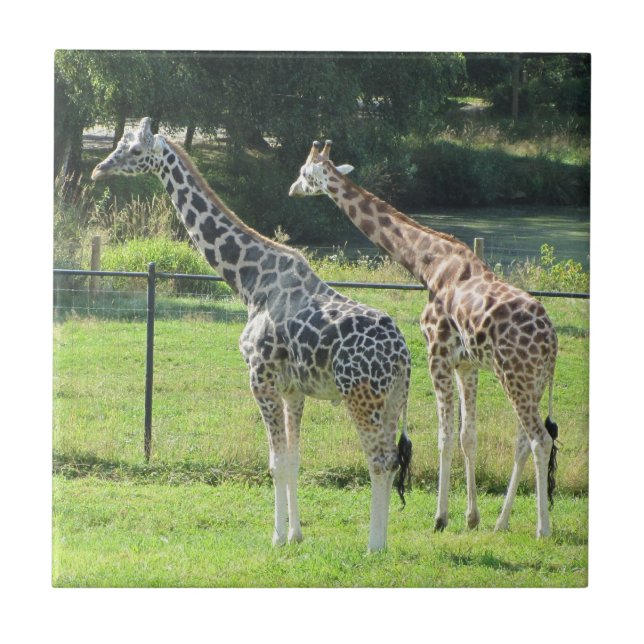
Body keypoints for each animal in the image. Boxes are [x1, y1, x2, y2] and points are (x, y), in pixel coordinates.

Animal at [91, 119, 412, 552]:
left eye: (135, 150)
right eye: (121, 144)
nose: (99, 169)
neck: (249, 282)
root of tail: (403, 354)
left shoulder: (260, 377)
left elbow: (275, 463)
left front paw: (276, 537)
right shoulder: (293, 389)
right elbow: (293, 460)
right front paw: (295, 534)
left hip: (361, 395)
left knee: (379, 459)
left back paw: (374, 546)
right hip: (392, 398)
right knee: (392, 459)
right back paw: (381, 540)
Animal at [289, 140, 559, 538]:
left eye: (305, 172)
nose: (292, 189)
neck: (428, 265)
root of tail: (551, 342)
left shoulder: (438, 353)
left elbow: (444, 437)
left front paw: (441, 517)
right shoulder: (467, 364)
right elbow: (467, 437)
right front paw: (472, 517)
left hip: (516, 377)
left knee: (541, 439)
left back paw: (543, 529)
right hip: (533, 381)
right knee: (524, 441)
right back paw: (501, 522)